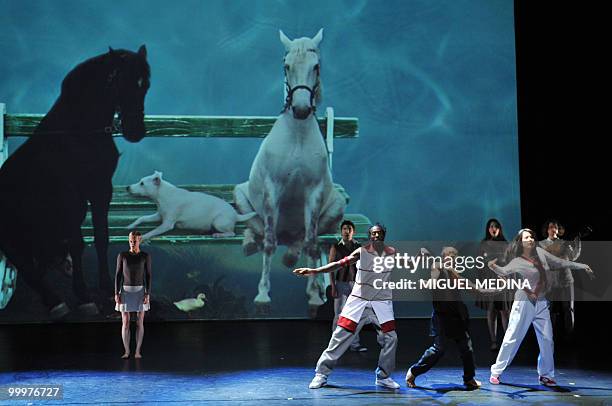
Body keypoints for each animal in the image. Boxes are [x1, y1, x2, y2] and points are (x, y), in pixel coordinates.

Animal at [0, 46, 149, 318]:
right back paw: (54, 301)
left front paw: (107, 286)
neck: (79, 132)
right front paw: (84, 296)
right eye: (118, 82)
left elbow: (101, 237)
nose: (135, 131)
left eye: (145, 85)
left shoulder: (101, 189)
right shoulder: (69, 196)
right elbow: (77, 243)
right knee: (26, 267)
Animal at [126, 170, 256, 239]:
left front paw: (141, 238)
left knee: (232, 233)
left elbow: (152, 232)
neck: (162, 195)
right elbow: (142, 218)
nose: (127, 187)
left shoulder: (167, 224)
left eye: (142, 183)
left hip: (218, 222)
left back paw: (218, 235)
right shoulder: (159, 216)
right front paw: (130, 226)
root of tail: (236, 215)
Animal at [234, 29, 346, 310]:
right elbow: (269, 243)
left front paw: (315, 294)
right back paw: (250, 243)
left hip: (336, 204)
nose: (301, 109)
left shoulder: (314, 192)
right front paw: (263, 295)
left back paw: (292, 256)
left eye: (316, 66)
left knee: (299, 241)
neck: (297, 136)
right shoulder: (272, 189)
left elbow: (312, 244)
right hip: (241, 196)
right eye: (286, 66)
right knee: (258, 230)